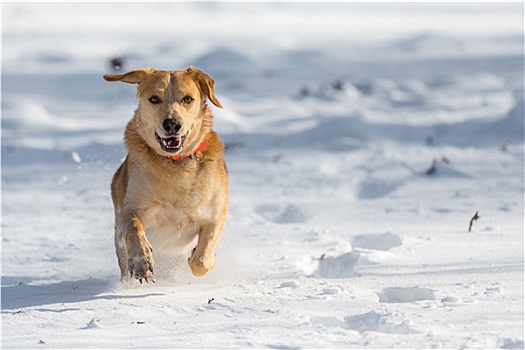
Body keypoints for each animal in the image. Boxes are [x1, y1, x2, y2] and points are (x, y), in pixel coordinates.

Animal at [103, 66, 228, 284]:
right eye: (154, 99)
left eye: (188, 99)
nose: (172, 124)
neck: (175, 164)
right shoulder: (129, 209)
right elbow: (133, 226)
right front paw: (142, 262)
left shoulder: (216, 213)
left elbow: (202, 258)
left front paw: (197, 256)